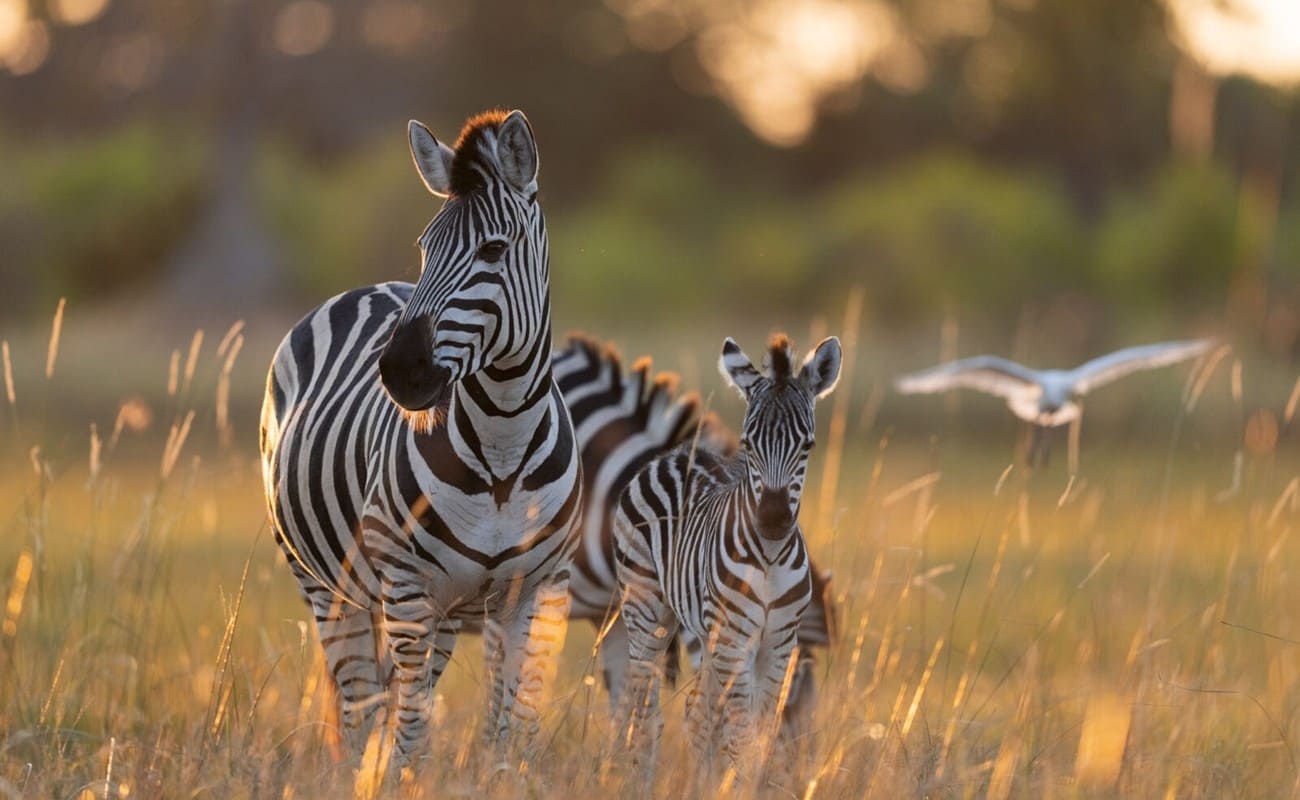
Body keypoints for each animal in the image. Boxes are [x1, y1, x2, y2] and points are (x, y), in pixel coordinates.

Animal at [259, 109, 581, 767]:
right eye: (425, 249)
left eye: (493, 249)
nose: (399, 371)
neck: (503, 446)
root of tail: (368, 287)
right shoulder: (408, 587)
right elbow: (408, 730)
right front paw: (400, 777)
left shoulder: (536, 591)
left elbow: (511, 730)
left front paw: (492, 773)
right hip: (328, 584)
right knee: (361, 704)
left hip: (446, 608)